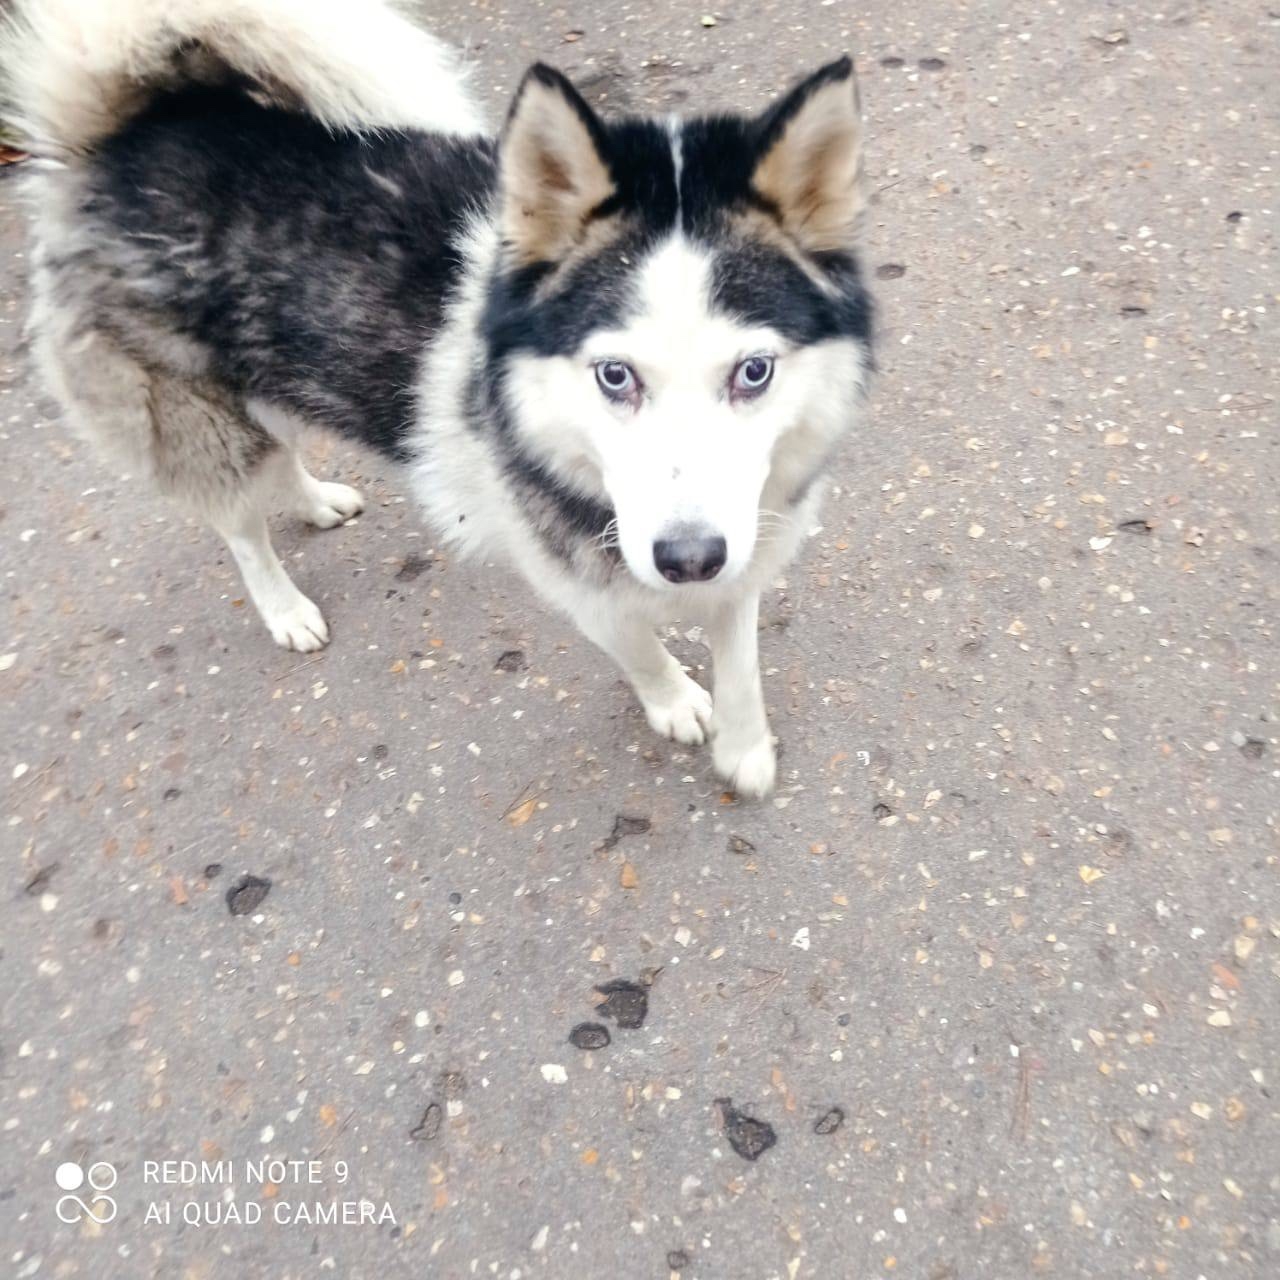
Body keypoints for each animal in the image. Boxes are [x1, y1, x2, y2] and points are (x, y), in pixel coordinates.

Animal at [1, 0, 873, 797]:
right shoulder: (581, 586)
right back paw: (284, 607)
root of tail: (133, 132)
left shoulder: (744, 543)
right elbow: (641, 652)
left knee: (282, 448)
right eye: (614, 375)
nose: (687, 560)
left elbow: (742, 658)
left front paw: (745, 746)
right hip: (200, 420)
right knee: (241, 524)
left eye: (753, 372)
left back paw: (314, 499)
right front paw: (676, 703)